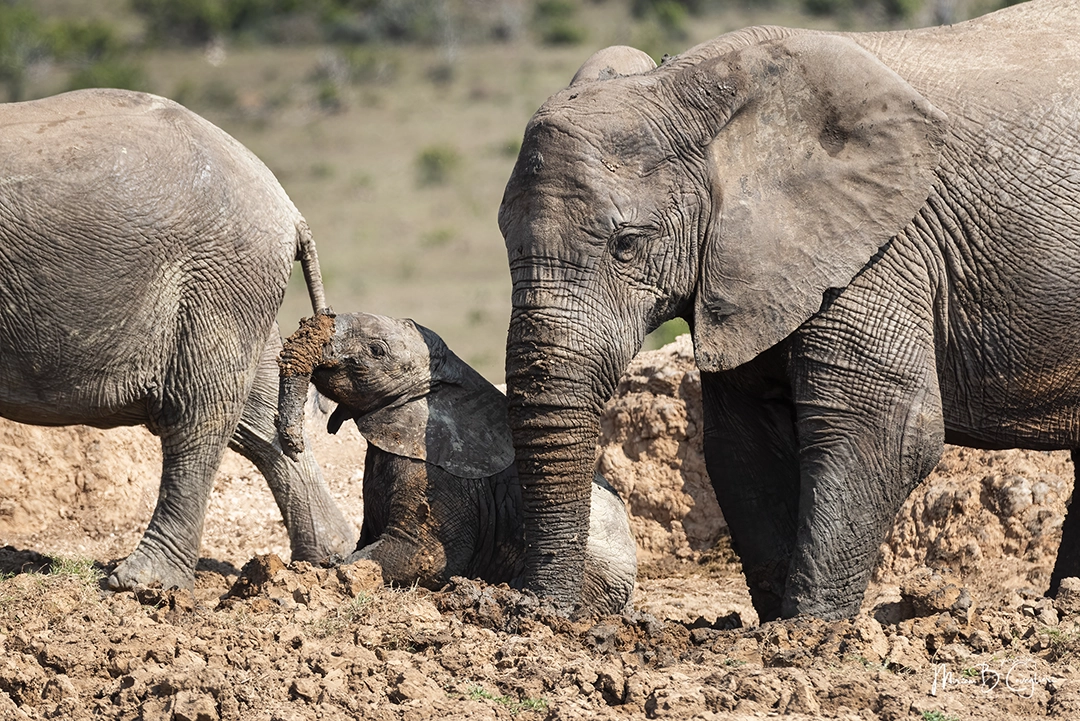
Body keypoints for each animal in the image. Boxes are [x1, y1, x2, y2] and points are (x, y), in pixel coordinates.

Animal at [0, 88, 356, 591]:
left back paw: (142, 582)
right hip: (239, 286)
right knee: (258, 412)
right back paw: (328, 559)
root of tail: (287, 207)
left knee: (199, 414)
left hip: (215, 278)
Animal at [276, 311, 638, 614]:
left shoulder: (440, 476)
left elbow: (424, 554)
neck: (448, 377)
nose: (294, 444)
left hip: (596, 571)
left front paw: (326, 570)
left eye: (376, 350)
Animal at [498, 0, 1080, 621]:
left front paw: (807, 632)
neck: (688, 86)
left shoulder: (877, 249)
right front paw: (777, 622)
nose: (542, 615)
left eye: (626, 245)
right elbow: (740, 443)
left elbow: (882, 428)